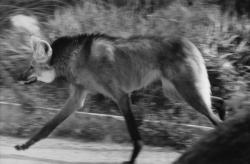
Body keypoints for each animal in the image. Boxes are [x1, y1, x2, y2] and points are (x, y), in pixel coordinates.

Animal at [14, 33, 224, 164]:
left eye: (31, 67)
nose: (18, 77)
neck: (75, 57)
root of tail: (189, 42)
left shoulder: (120, 95)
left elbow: (134, 134)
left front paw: (132, 159)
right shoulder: (77, 97)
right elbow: (48, 126)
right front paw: (25, 145)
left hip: (186, 92)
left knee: (215, 117)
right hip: (175, 93)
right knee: (215, 106)